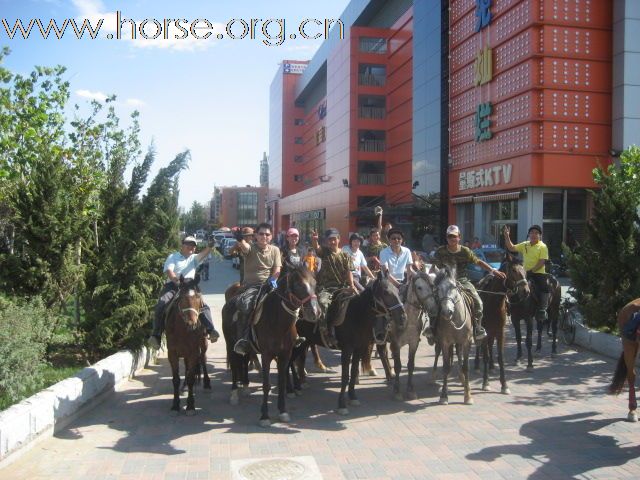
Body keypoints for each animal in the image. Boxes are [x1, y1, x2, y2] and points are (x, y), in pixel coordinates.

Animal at [166, 276, 206, 414]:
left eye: (198, 297)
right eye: (182, 298)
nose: (192, 324)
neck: (183, 329)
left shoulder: (193, 352)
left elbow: (191, 378)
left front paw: (190, 406)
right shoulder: (172, 353)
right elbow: (176, 379)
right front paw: (175, 405)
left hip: (203, 345)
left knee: (203, 360)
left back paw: (207, 383)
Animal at [222, 266, 320, 428]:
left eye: (315, 283)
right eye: (299, 285)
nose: (315, 312)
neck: (277, 320)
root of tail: (230, 301)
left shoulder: (285, 354)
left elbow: (281, 381)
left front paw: (283, 411)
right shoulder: (266, 355)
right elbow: (266, 385)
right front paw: (264, 416)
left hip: (248, 348)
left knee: (245, 360)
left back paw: (246, 386)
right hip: (230, 344)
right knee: (235, 366)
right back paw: (234, 393)